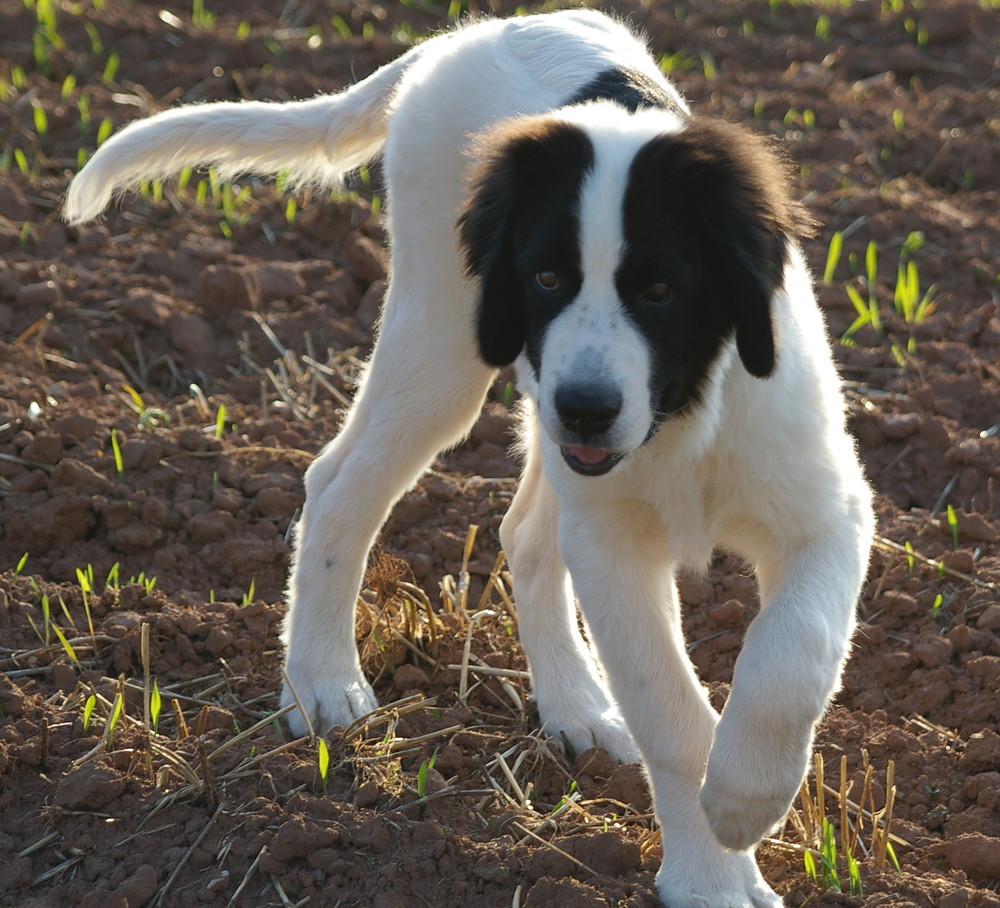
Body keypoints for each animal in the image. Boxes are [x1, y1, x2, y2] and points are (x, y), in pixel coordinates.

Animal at [66, 10, 872, 904]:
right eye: (546, 278)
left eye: (662, 290)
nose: (587, 406)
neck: (685, 413)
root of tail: (475, 30)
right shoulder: (613, 539)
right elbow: (670, 713)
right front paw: (715, 869)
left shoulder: (827, 516)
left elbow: (793, 654)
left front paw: (747, 795)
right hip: (449, 338)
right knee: (339, 484)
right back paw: (321, 683)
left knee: (521, 531)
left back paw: (576, 706)